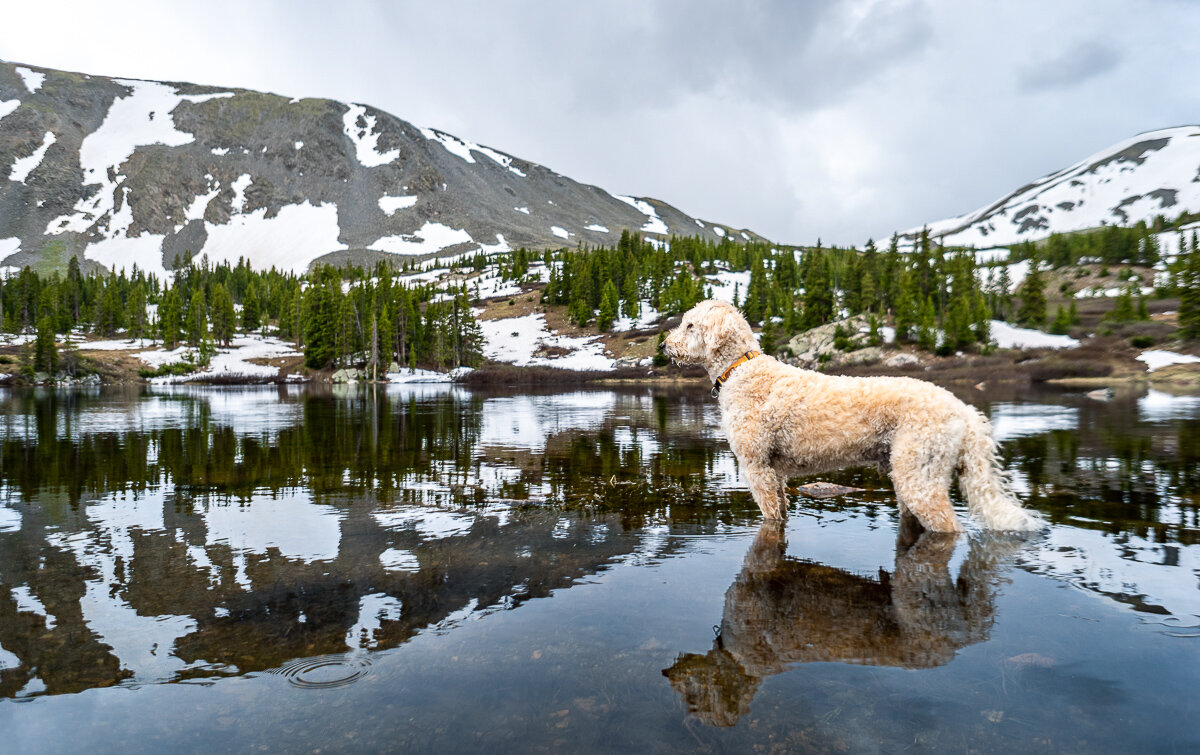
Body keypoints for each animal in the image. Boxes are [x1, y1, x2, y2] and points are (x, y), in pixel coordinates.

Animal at [662, 297, 1046, 532]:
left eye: (690, 326)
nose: (664, 345)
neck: (741, 370)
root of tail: (963, 411)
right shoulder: (776, 472)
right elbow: (782, 509)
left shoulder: (756, 466)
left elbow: (771, 516)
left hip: (920, 473)